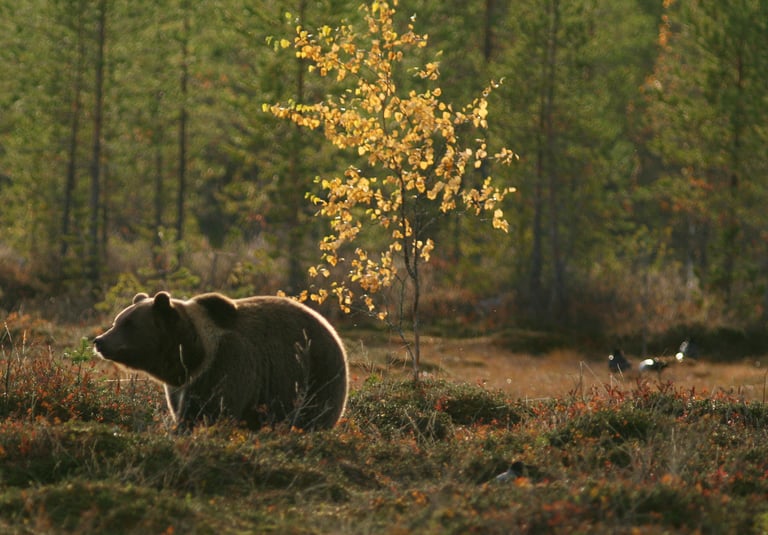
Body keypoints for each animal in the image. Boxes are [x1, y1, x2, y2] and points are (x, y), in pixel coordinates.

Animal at [93, 294, 348, 432]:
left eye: (128, 324)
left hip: (316, 376)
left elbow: (215, 408)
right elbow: (184, 410)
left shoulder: (226, 363)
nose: (99, 341)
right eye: (117, 320)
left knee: (312, 413)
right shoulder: (183, 386)